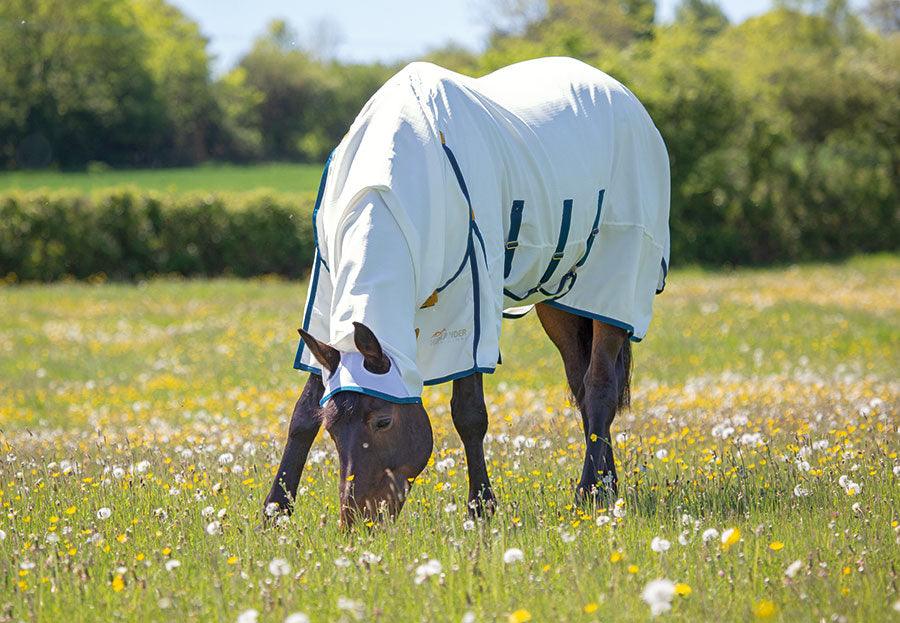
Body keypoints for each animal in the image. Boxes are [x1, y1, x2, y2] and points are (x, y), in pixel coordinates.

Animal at [264, 57, 669, 527]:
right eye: (332, 426)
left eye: (382, 421)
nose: (359, 519)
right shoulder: (327, 316)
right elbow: (302, 414)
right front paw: (274, 514)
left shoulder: (468, 309)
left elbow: (469, 414)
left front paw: (481, 507)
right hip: (560, 306)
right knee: (583, 388)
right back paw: (607, 487)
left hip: (613, 288)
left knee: (601, 385)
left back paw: (589, 493)